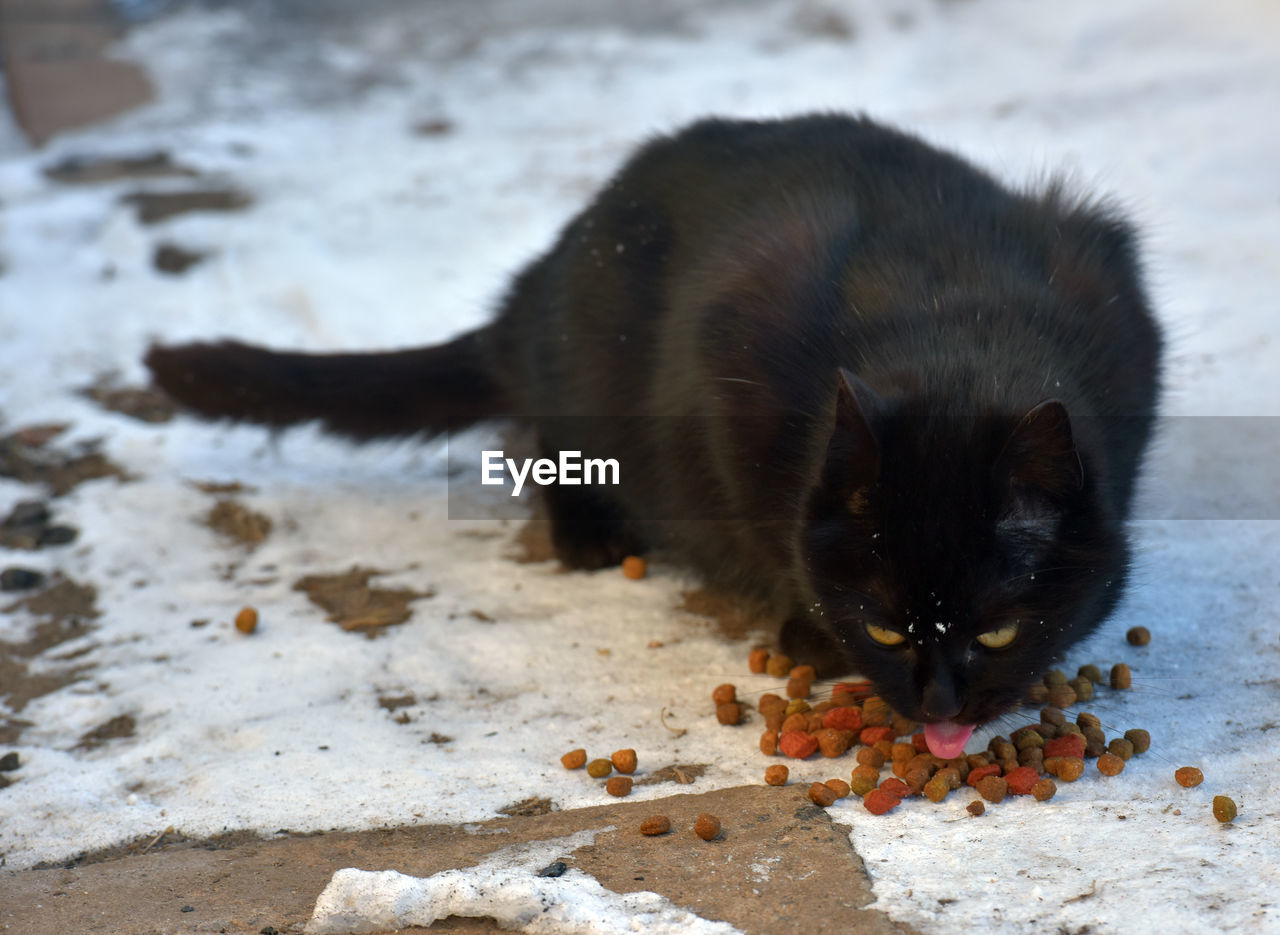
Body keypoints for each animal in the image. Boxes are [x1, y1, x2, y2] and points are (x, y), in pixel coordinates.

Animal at [145, 112, 1167, 753]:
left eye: (997, 632)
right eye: (880, 623)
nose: (939, 705)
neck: (956, 327)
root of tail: (534, 287)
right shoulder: (724, 360)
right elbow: (768, 525)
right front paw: (805, 625)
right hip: (588, 377)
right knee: (544, 441)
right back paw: (587, 533)